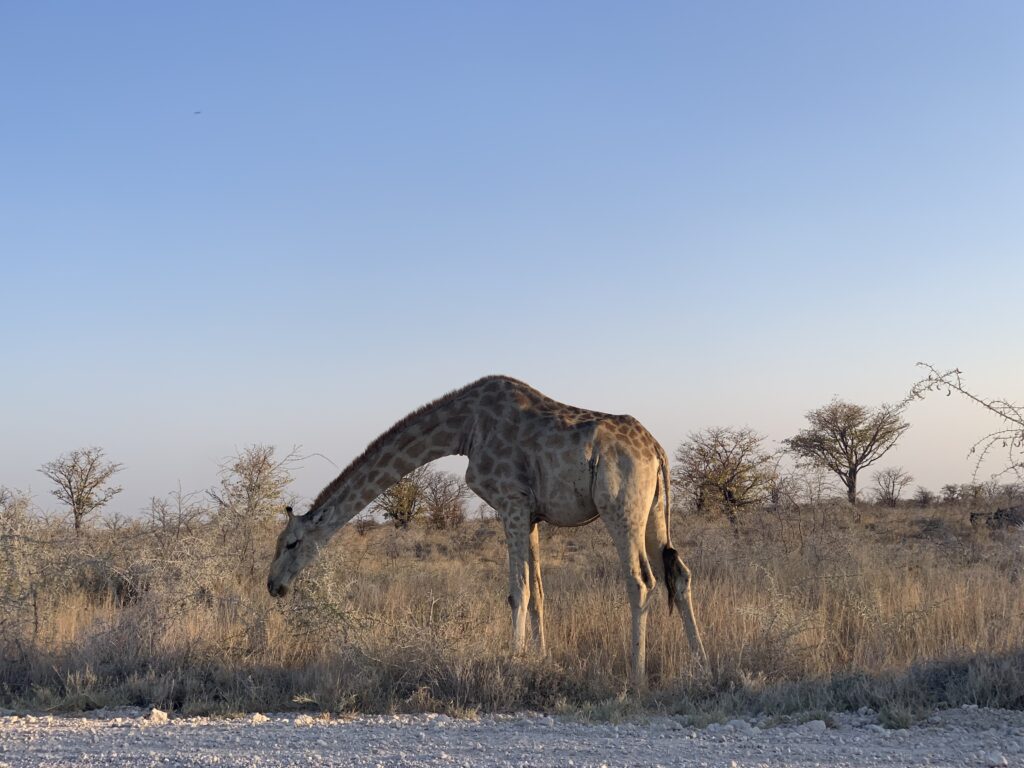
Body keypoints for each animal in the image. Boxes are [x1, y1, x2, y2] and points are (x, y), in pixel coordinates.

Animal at [268, 376, 708, 684]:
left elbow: (518, 591)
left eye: (291, 543)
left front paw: (513, 661)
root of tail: (658, 451)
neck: (464, 429)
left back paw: (636, 675)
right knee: (680, 573)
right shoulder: (531, 514)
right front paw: (541, 658)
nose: (274, 587)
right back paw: (700, 664)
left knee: (641, 581)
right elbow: (538, 593)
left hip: (620, 508)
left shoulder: (511, 502)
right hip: (654, 512)